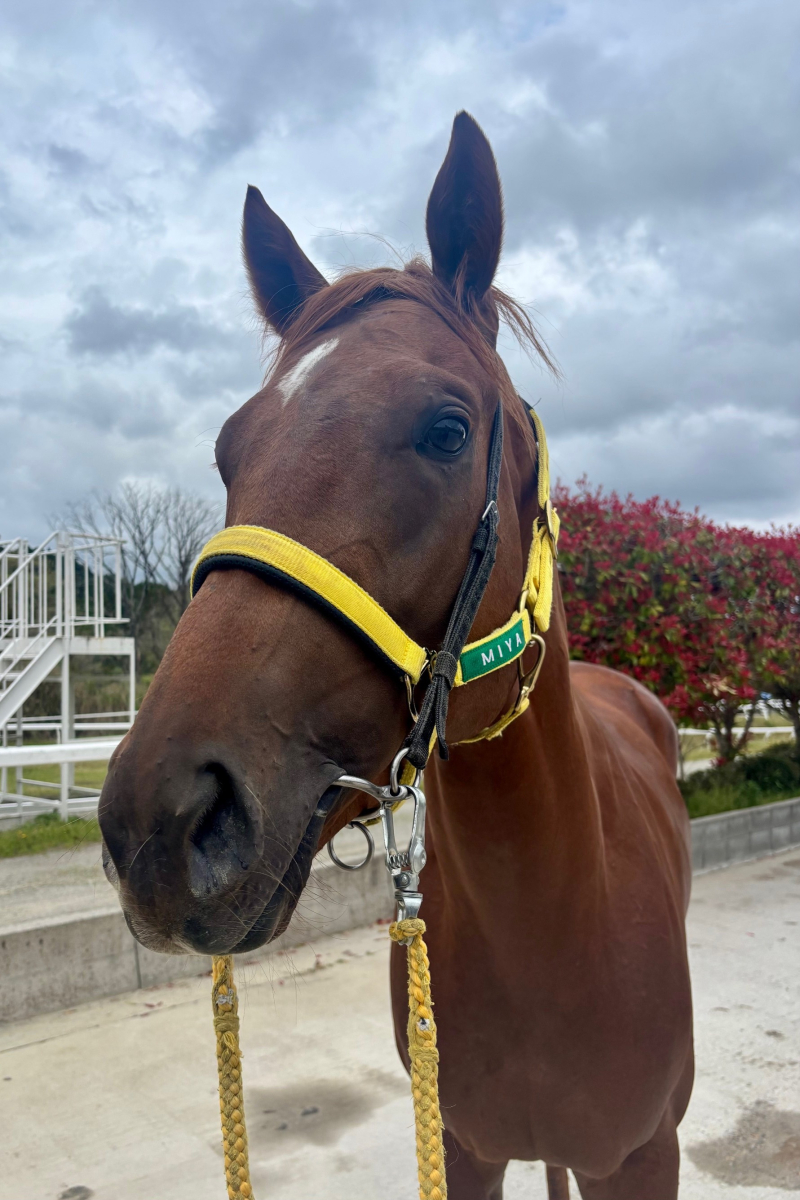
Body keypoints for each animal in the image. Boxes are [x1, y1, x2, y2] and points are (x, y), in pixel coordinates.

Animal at [99, 111, 694, 1199]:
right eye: (228, 452)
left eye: (447, 429)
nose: (157, 826)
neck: (553, 930)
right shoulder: (460, 1147)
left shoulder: (643, 1156)